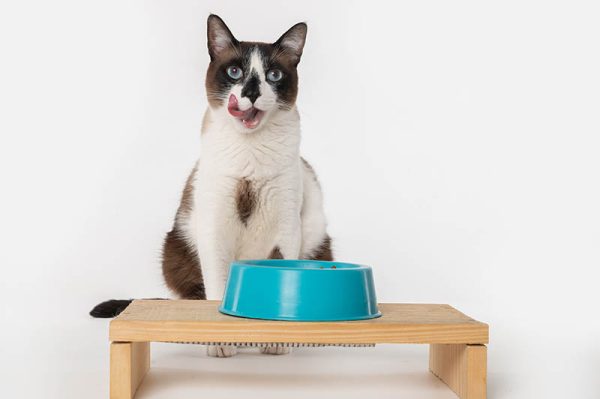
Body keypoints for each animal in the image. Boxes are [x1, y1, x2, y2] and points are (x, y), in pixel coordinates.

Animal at [90, 14, 332, 360]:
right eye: (235, 72)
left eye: (273, 75)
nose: (251, 93)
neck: (250, 149)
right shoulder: (215, 228)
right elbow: (217, 292)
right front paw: (220, 342)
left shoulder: (287, 227)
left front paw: (275, 341)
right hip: (176, 246)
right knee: (195, 294)